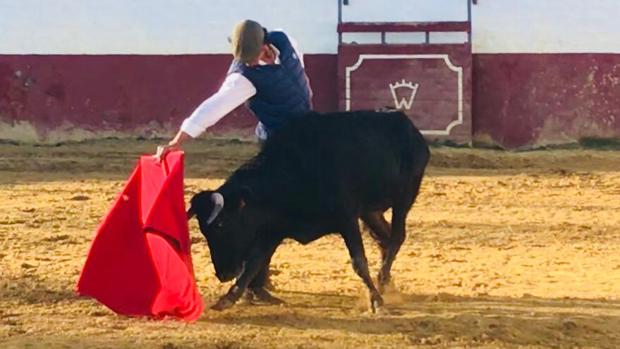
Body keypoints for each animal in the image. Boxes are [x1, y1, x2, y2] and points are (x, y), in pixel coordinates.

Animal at [188, 110, 432, 312]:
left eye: (222, 225)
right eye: (204, 231)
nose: (223, 274)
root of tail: (408, 125)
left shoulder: (347, 219)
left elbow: (359, 261)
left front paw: (375, 301)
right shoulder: (273, 230)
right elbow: (253, 264)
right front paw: (228, 298)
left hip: (404, 197)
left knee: (397, 236)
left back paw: (381, 282)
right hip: (370, 210)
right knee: (385, 238)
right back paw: (386, 281)